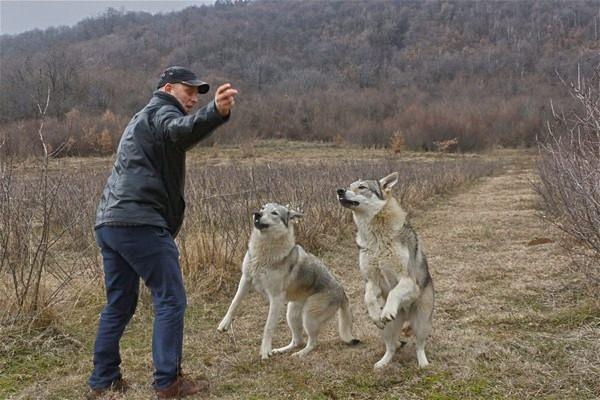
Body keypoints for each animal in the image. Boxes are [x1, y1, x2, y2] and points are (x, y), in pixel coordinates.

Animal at [217, 203, 358, 360]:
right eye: (262, 208)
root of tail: (342, 291)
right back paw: (280, 350)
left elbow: (268, 327)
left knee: (312, 342)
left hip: (308, 317)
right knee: (297, 340)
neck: (264, 250)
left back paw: (300, 354)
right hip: (291, 314)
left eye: (274, 213)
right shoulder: (246, 279)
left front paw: (265, 351)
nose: (256, 214)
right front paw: (224, 324)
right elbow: (234, 303)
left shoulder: (276, 298)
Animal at [338, 172, 432, 368]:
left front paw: (388, 311)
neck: (376, 236)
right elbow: (368, 299)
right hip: (388, 331)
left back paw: (423, 364)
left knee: (419, 346)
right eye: (349, 185)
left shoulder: (407, 280)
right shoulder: (372, 281)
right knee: (392, 347)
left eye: (362, 187)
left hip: (421, 324)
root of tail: (405, 315)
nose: (339, 191)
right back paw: (382, 364)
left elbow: (394, 293)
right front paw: (376, 315)